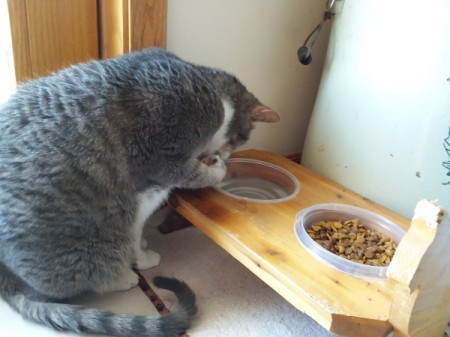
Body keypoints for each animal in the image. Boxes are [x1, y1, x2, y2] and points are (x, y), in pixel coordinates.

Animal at [0, 46, 280, 336]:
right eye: (240, 140)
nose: (223, 155)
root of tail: (7, 278)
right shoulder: (165, 166)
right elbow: (145, 225)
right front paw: (143, 258)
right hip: (98, 244)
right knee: (89, 279)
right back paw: (124, 278)